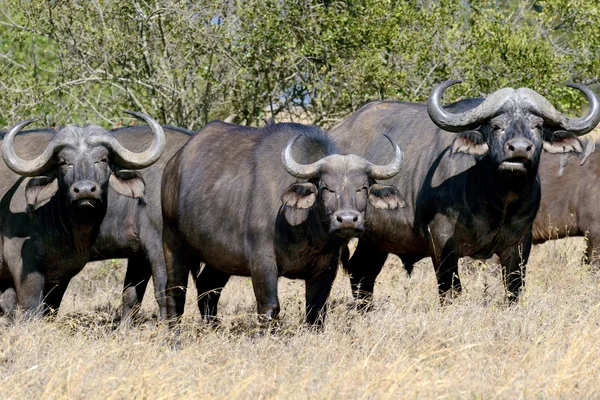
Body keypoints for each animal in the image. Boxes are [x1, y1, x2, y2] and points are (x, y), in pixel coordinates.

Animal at [0, 114, 165, 318]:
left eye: (103, 159)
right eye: (63, 162)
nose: (85, 190)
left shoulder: (61, 276)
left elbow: (50, 308)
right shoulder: (25, 271)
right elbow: (31, 310)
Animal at [163, 122, 404, 324]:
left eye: (363, 187)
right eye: (325, 187)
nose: (347, 220)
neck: (305, 231)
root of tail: (173, 165)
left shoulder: (327, 267)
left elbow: (316, 311)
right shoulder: (262, 262)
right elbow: (269, 308)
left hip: (220, 258)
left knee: (208, 288)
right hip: (173, 245)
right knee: (175, 292)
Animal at [330, 80, 600, 306]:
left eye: (538, 126)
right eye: (496, 126)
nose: (519, 150)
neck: (497, 199)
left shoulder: (520, 242)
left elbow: (513, 288)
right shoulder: (441, 241)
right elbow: (450, 289)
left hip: (376, 239)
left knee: (362, 272)